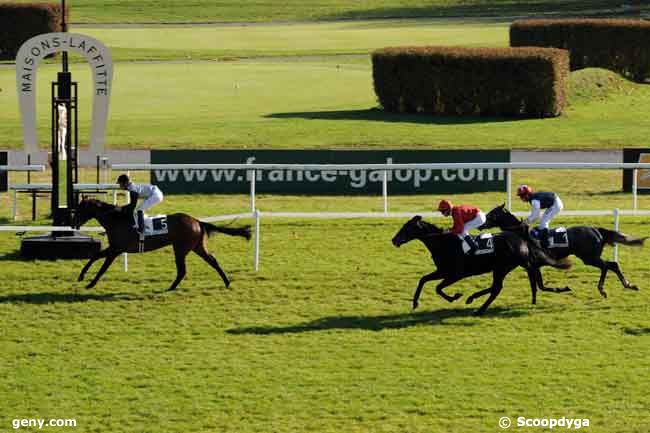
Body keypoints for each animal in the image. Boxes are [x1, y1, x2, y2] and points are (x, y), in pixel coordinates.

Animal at [73, 197, 249, 290]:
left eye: (80, 209)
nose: (74, 223)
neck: (116, 220)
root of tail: (197, 221)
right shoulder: (114, 248)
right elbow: (95, 255)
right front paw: (81, 276)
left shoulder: (116, 250)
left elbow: (103, 267)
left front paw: (91, 284)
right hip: (197, 247)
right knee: (213, 261)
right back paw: (226, 282)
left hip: (180, 248)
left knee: (182, 270)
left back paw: (171, 287)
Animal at [390, 215, 568, 314]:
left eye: (407, 228)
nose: (394, 240)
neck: (444, 243)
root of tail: (521, 239)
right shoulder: (443, 271)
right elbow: (423, 280)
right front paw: (415, 303)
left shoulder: (455, 274)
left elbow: (437, 288)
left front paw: (455, 296)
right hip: (502, 268)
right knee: (497, 287)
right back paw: (474, 301)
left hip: (501, 268)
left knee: (497, 288)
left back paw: (478, 308)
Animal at [480, 203, 644, 296]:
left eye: (492, 214)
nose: (481, 223)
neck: (522, 234)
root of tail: (596, 230)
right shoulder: (535, 265)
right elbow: (541, 286)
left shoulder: (533, 264)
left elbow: (540, 286)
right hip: (590, 257)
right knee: (612, 265)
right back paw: (628, 285)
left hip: (589, 257)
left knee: (607, 266)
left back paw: (603, 289)